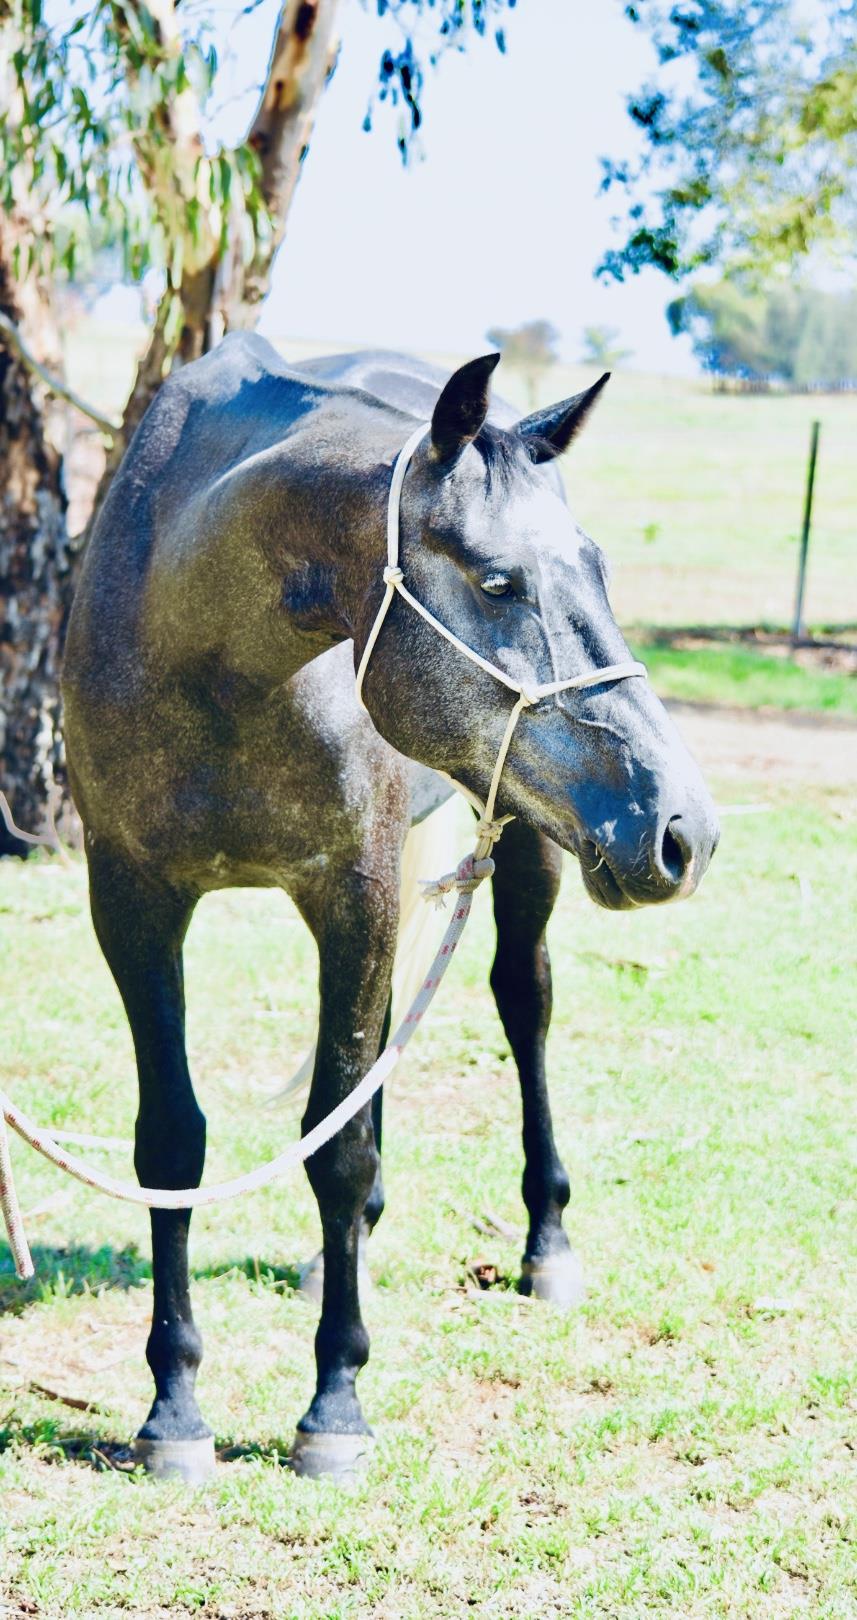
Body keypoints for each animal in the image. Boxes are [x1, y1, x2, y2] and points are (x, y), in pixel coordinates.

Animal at [61, 333, 719, 1482]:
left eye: (595, 568)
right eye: (497, 582)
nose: (683, 829)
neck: (204, 651)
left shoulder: (352, 892)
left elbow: (337, 1148)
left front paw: (334, 1406)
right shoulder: (133, 902)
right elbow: (173, 1147)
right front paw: (174, 1407)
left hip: (523, 840)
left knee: (521, 1002)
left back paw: (543, 1245)